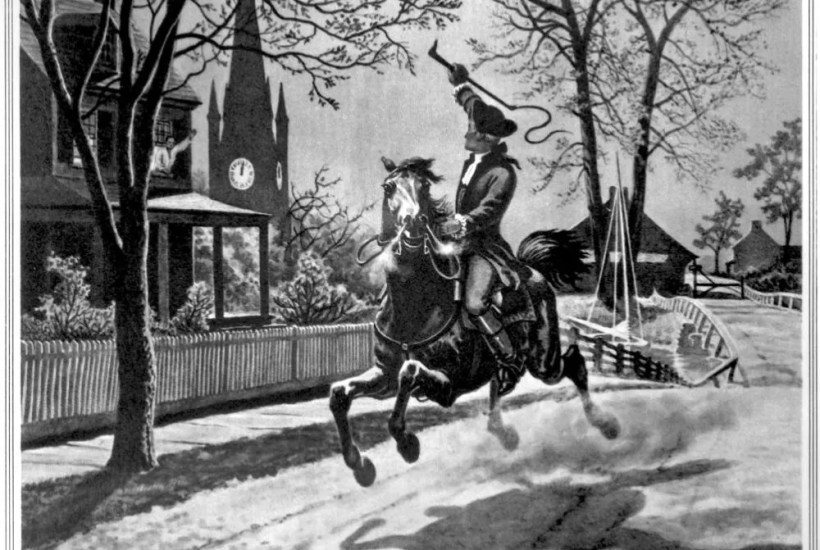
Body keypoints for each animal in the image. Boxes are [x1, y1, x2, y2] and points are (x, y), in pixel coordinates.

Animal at [329, 157, 620, 487]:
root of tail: (531, 269)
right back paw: (505, 434)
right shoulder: (384, 376)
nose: (413, 225)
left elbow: (410, 371)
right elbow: (339, 394)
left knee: (574, 364)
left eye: (424, 186)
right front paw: (359, 465)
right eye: (388, 187)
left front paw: (407, 444)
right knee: (500, 384)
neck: (415, 306)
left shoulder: (448, 385)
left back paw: (606, 424)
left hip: (544, 361)